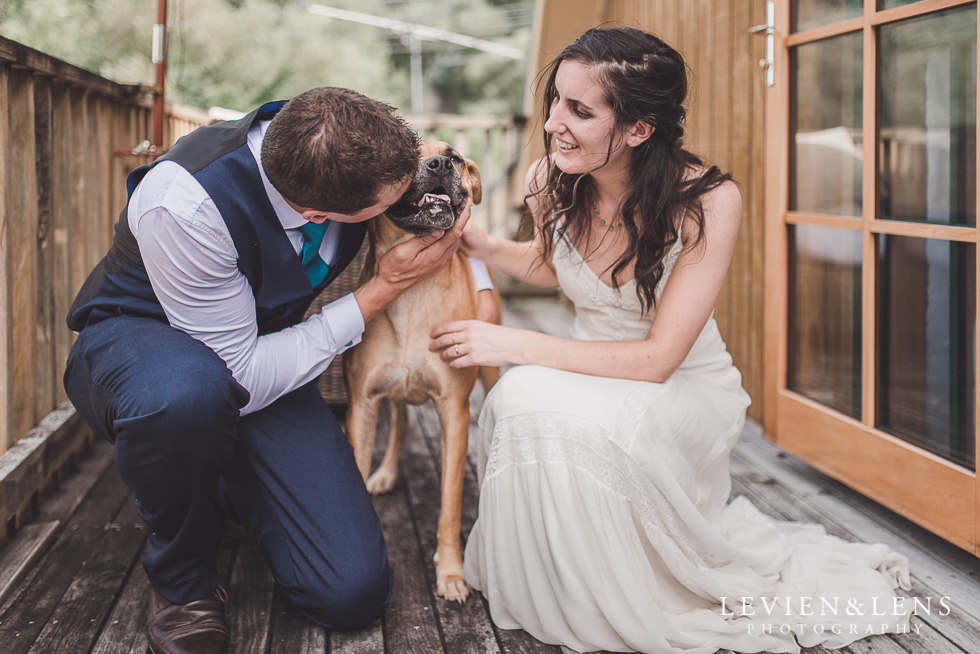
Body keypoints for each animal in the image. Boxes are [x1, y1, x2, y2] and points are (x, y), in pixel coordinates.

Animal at [342, 142, 498, 604]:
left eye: (457, 157)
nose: (440, 163)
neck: (412, 294)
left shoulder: (454, 412)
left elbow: (448, 508)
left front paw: (450, 572)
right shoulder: (362, 406)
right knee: (402, 424)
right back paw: (388, 471)